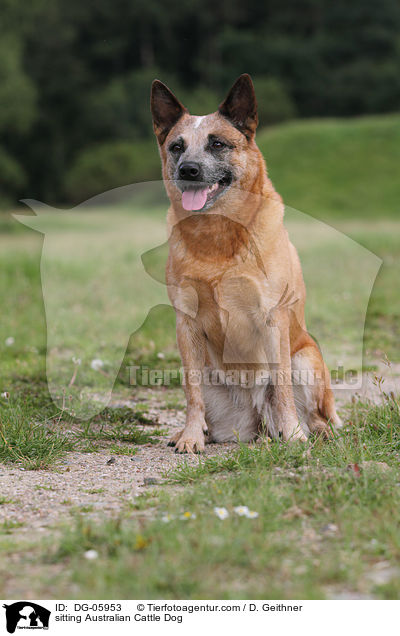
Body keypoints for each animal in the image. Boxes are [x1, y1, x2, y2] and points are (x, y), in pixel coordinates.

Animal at [150, 73, 340, 452]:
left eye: (217, 144)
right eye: (177, 146)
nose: (188, 170)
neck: (218, 237)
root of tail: (257, 418)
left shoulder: (273, 318)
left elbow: (281, 387)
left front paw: (293, 435)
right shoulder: (186, 323)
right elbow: (191, 393)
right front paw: (190, 436)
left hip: (307, 360)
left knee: (314, 414)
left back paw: (309, 432)